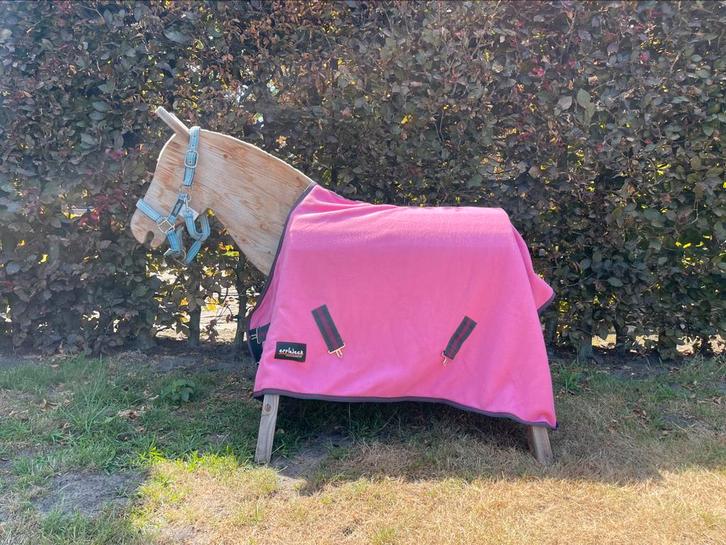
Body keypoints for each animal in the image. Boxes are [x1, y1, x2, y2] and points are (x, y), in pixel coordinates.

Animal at [130, 107, 554, 465]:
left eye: (168, 169)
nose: (139, 229)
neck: (282, 221)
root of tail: (513, 233)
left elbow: (269, 407)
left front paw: (262, 456)